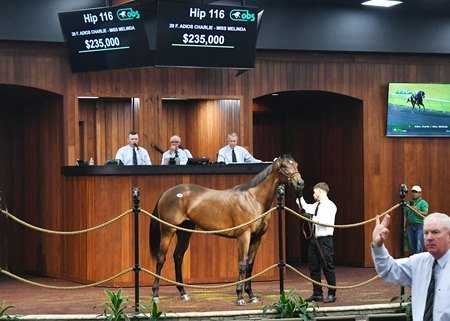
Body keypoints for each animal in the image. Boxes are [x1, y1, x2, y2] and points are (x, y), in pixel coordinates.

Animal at [149, 155, 304, 304]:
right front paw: (240, 296)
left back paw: (183, 293)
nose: (300, 183)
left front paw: (251, 295)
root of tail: (166, 193)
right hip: (168, 231)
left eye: (296, 165)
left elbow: (250, 265)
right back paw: (156, 295)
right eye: (284, 166)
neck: (253, 199)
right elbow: (242, 264)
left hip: (184, 232)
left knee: (178, 257)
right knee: (161, 258)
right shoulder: (244, 236)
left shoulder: (256, 238)